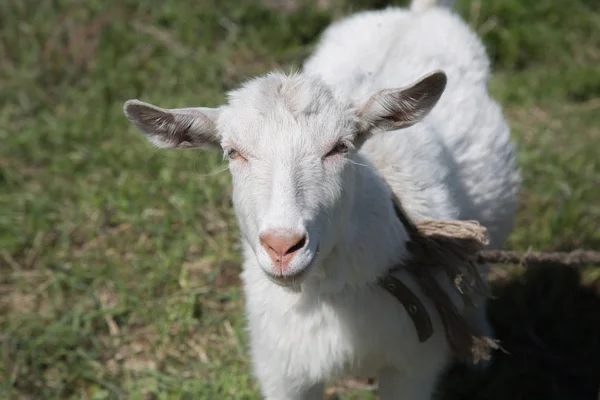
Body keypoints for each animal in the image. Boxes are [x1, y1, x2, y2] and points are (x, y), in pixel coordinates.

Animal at [123, 0, 520, 396]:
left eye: (339, 147)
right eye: (233, 152)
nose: (282, 246)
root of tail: (418, 13)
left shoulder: (413, 365)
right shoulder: (282, 371)